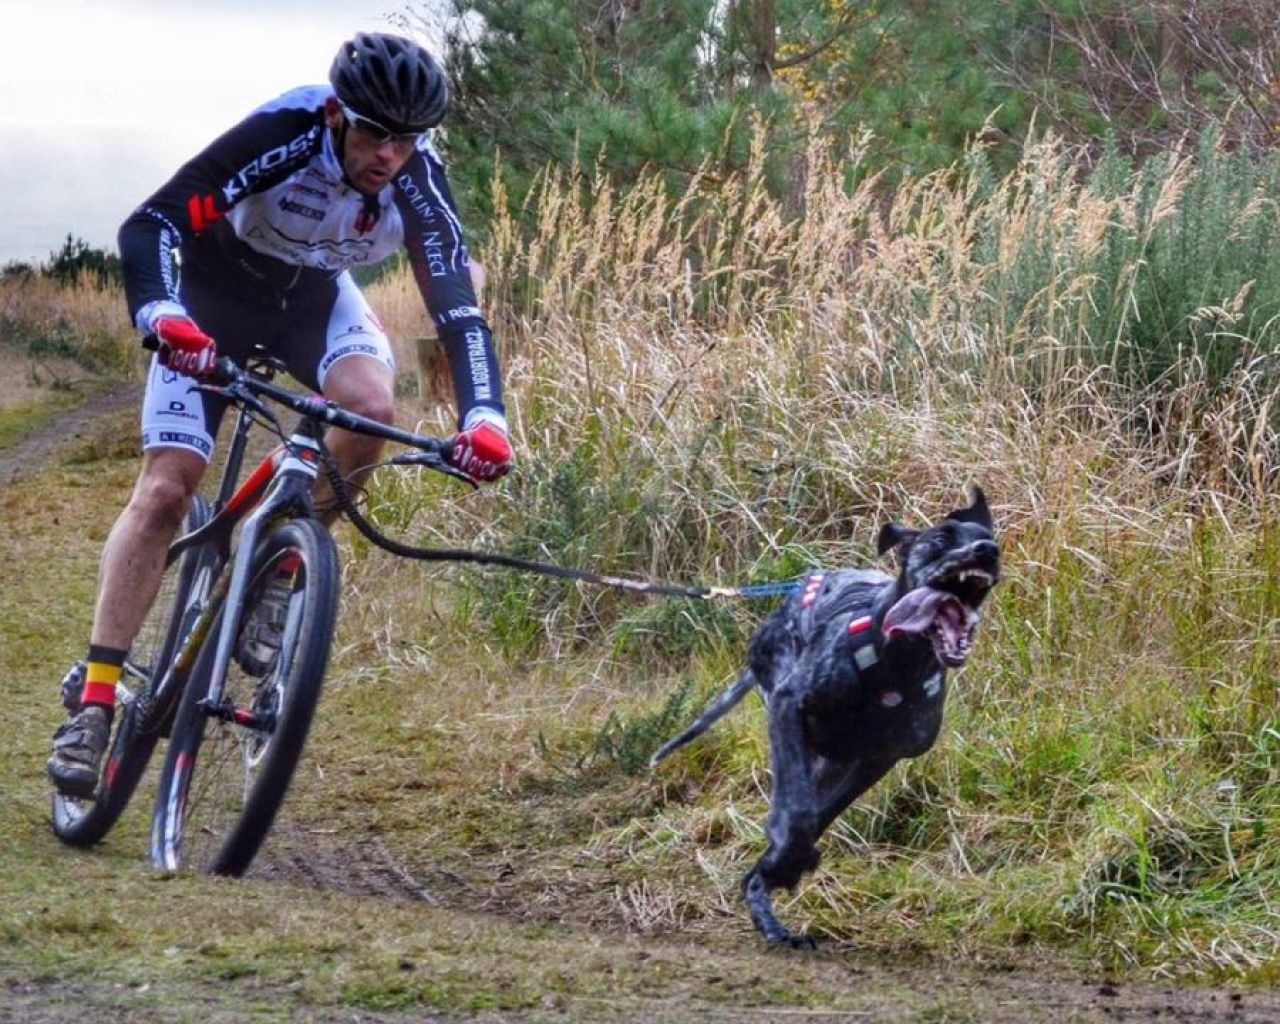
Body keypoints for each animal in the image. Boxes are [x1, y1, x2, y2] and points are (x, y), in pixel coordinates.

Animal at [650, 486, 998, 942]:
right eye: (940, 539)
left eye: (992, 540)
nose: (987, 551)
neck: (898, 663)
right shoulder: (788, 710)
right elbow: (798, 812)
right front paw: (784, 857)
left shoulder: (877, 759)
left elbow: (820, 815)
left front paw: (780, 864)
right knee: (790, 799)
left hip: (831, 760)